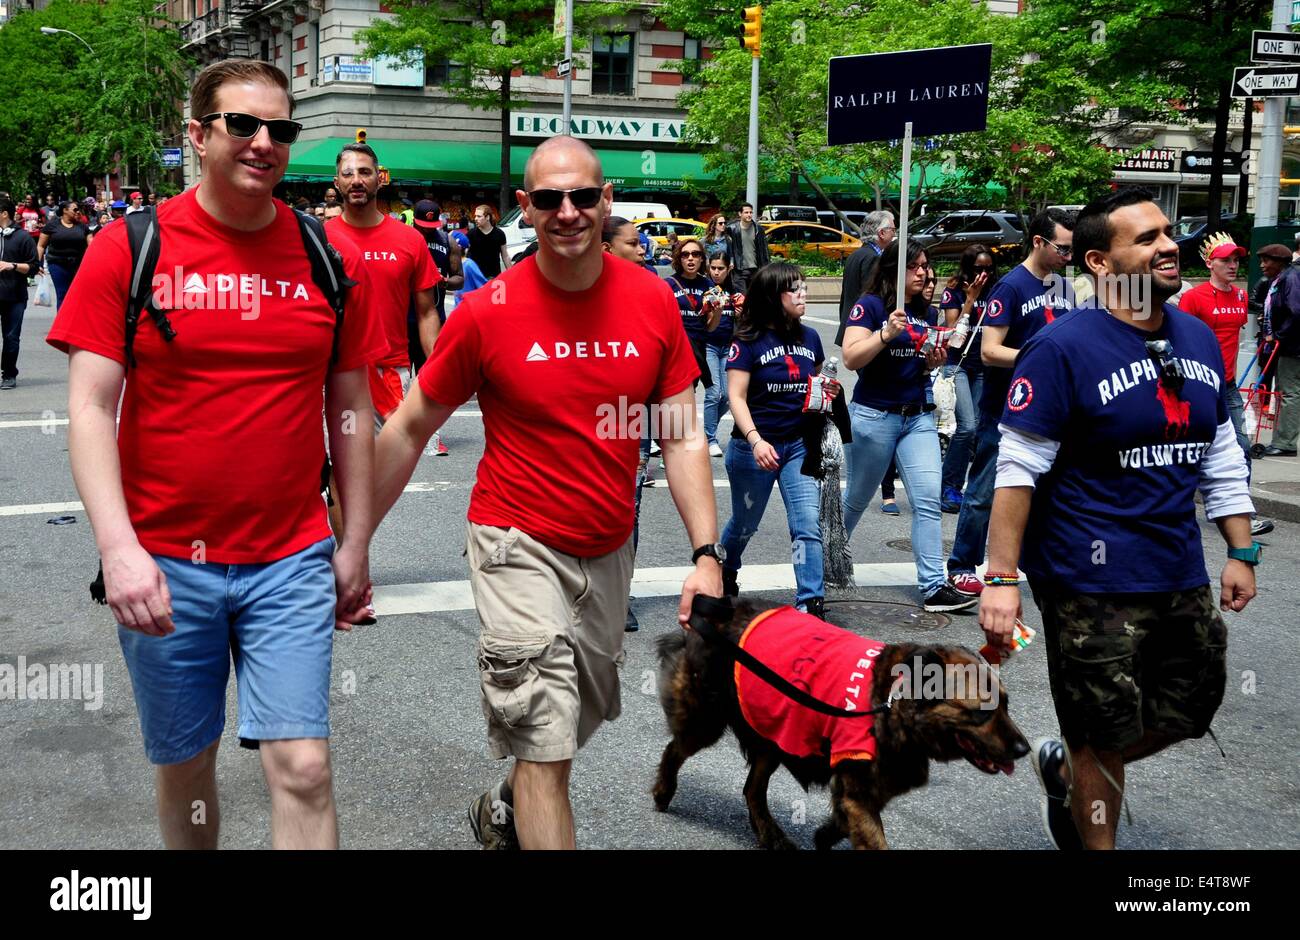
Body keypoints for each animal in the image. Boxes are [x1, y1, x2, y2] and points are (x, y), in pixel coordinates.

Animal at [655, 603, 1029, 852]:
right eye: (982, 713)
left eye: (1007, 704)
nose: (1024, 750)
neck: (891, 699)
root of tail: (720, 610)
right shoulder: (859, 790)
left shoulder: (867, 790)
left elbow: (843, 819)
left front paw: (824, 835)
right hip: (706, 722)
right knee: (674, 749)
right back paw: (663, 790)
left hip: (774, 732)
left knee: (752, 790)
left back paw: (771, 835)